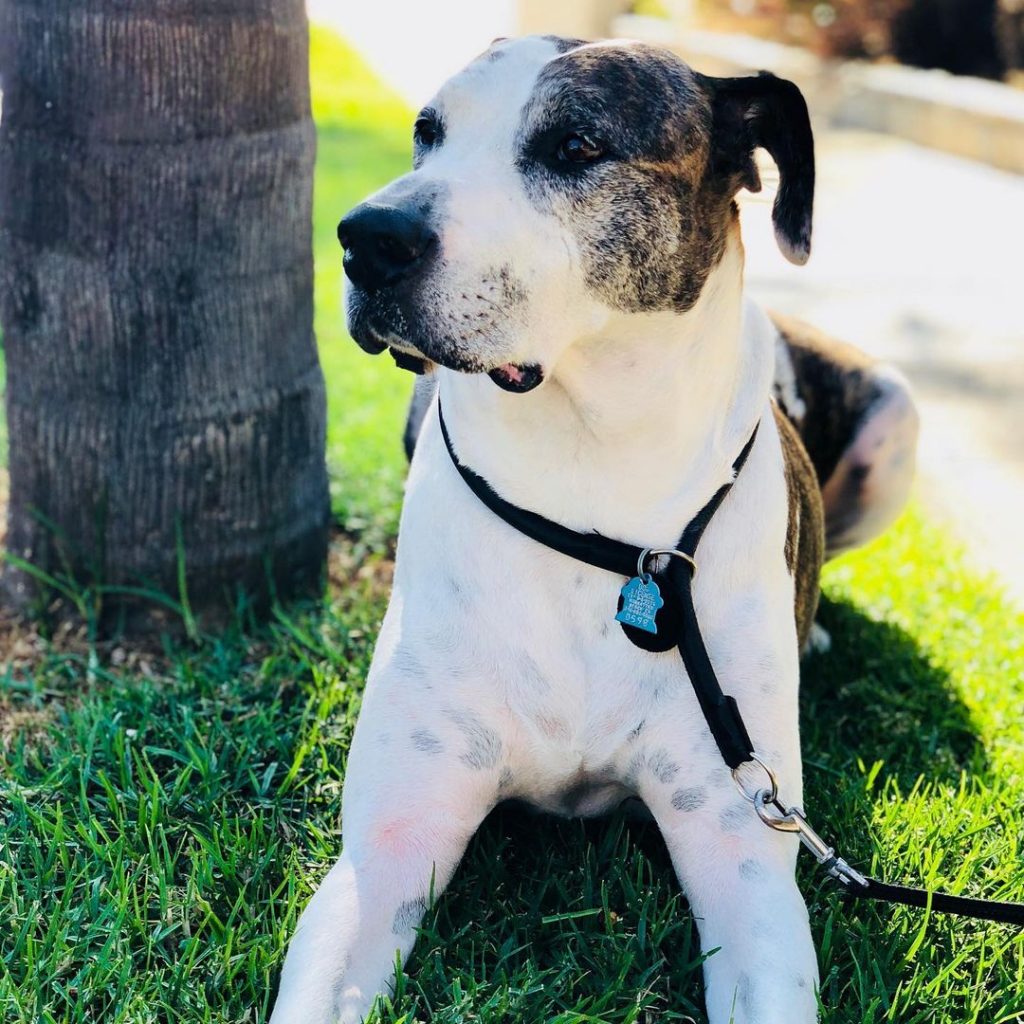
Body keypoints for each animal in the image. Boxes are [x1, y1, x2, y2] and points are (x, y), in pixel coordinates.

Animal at [270, 34, 921, 1024]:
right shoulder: (385, 847)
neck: (590, 482)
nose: (367, 238)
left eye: (577, 146)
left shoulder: (742, 851)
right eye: (427, 132)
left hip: (897, 414)